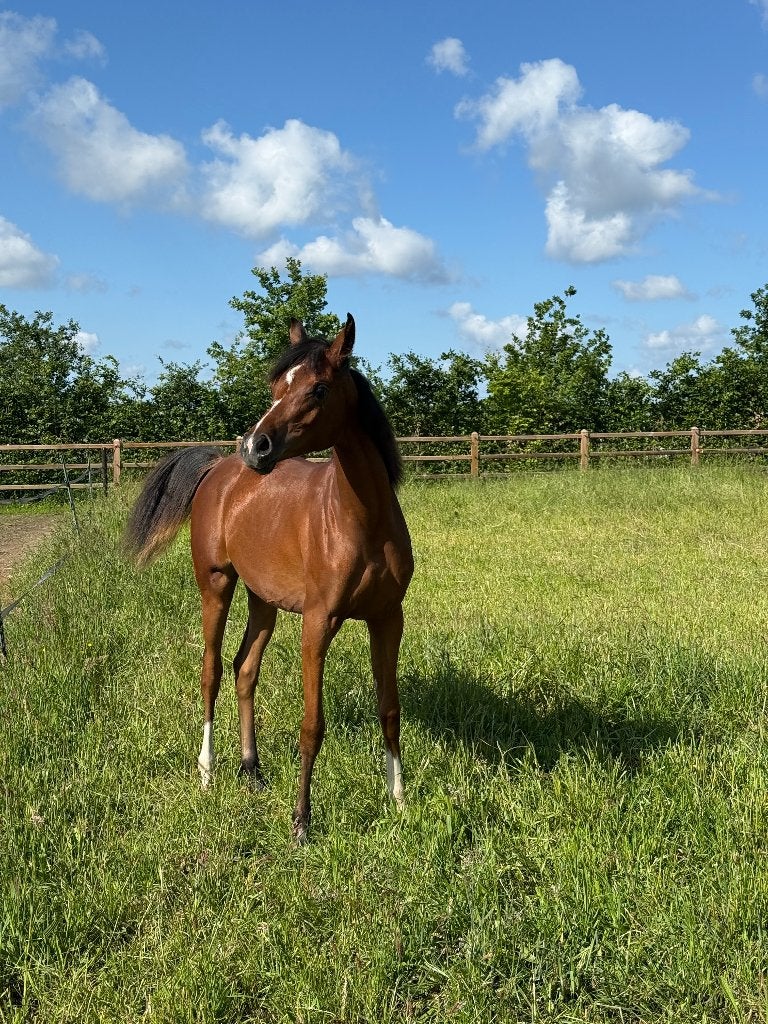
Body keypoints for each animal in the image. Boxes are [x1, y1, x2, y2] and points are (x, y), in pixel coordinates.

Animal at [123, 314, 414, 842]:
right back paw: (207, 771)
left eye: (318, 388)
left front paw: (399, 800)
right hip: (216, 586)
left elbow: (389, 710)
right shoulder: (318, 623)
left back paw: (251, 769)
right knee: (212, 671)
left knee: (245, 669)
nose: (255, 446)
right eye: (276, 386)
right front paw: (301, 821)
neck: (361, 520)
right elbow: (312, 725)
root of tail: (219, 467)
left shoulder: (387, 618)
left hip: (263, 601)